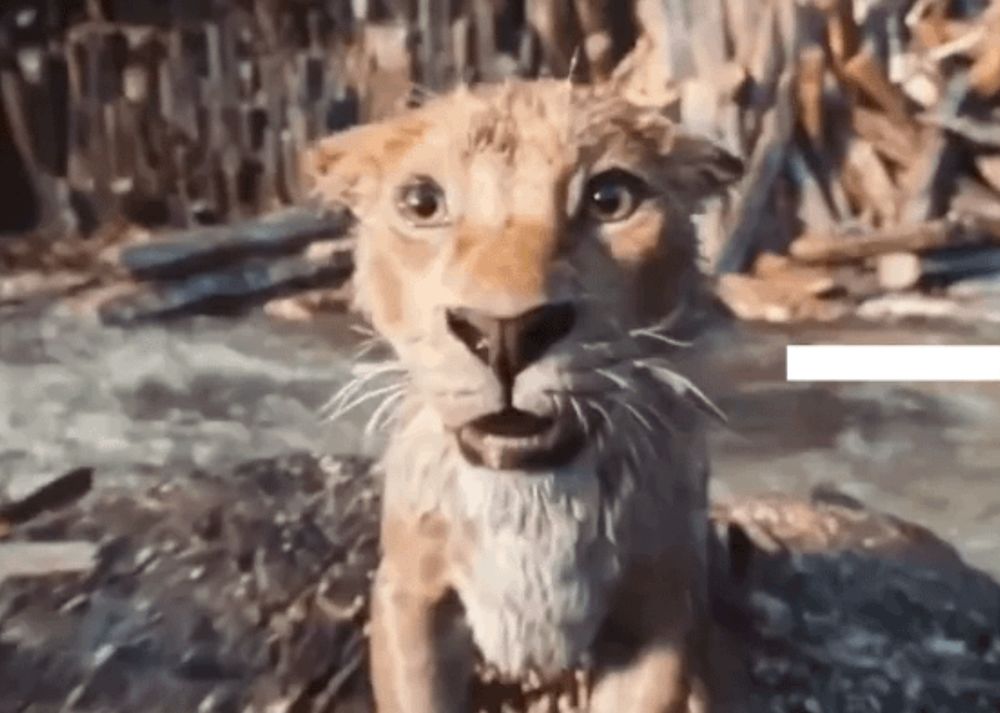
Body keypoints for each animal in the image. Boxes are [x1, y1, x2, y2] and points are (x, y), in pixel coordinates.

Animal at [304, 77, 742, 712]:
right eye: (422, 202)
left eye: (611, 198)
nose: (503, 332)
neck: (529, 501)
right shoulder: (408, 596)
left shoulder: (659, 613)